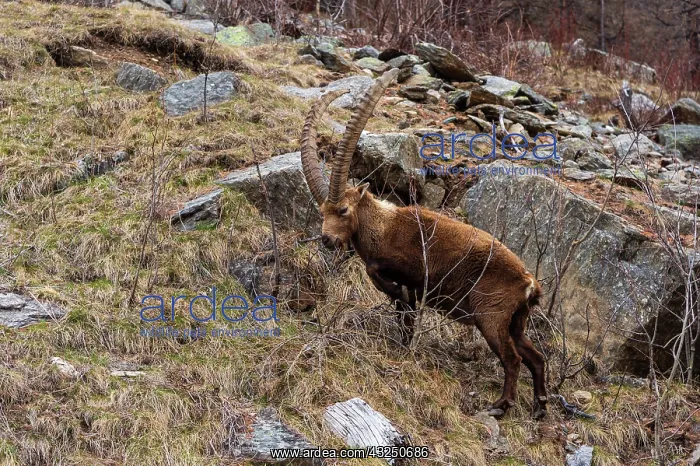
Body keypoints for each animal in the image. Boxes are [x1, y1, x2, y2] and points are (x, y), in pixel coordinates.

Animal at [300, 69, 547, 419]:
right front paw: (403, 342)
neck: (383, 227)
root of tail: (528, 282)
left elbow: (390, 287)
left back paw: (501, 405)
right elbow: (403, 314)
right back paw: (540, 406)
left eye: (344, 210)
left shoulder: (412, 273)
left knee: (512, 358)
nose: (328, 239)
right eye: (322, 212)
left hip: (491, 317)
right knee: (535, 357)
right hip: (515, 321)